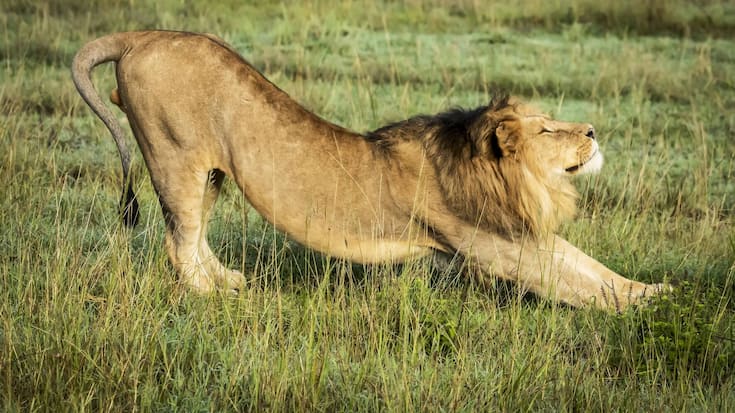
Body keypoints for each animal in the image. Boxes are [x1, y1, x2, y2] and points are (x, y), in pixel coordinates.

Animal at [72, 30, 667, 311]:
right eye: (546, 131)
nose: (591, 130)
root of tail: (138, 37)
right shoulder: (496, 246)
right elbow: (577, 284)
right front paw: (638, 310)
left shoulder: (517, 233)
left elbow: (591, 266)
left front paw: (657, 290)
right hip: (176, 156)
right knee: (179, 243)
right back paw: (214, 298)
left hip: (213, 172)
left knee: (192, 239)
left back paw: (231, 282)